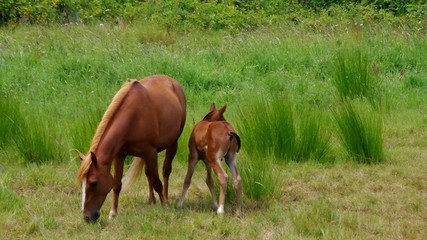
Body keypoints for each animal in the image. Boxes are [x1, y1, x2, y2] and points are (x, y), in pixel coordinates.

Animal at [76, 74, 186, 221]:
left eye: (93, 183)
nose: (87, 217)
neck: (134, 117)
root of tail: (173, 82)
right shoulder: (120, 155)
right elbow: (117, 184)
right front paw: (113, 213)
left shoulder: (151, 153)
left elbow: (157, 182)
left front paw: (165, 207)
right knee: (148, 173)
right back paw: (151, 200)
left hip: (173, 143)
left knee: (166, 171)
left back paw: (166, 199)